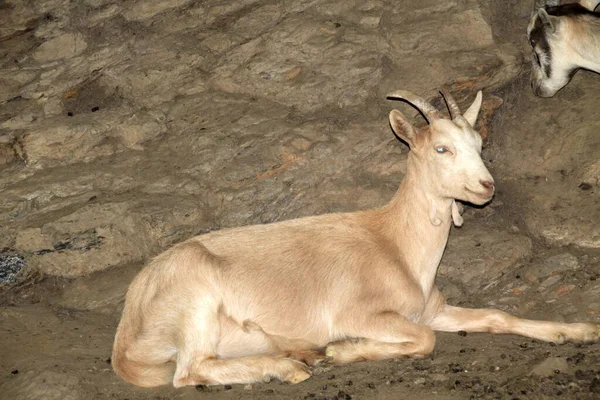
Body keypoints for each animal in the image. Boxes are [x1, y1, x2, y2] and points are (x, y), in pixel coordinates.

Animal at [110, 88, 596, 388]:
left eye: (478, 144)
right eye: (441, 148)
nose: (485, 187)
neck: (397, 246)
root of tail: (126, 332)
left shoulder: (430, 310)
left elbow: (498, 316)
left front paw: (578, 331)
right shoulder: (360, 313)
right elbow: (424, 341)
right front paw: (343, 352)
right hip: (197, 301)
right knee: (189, 371)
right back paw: (290, 367)